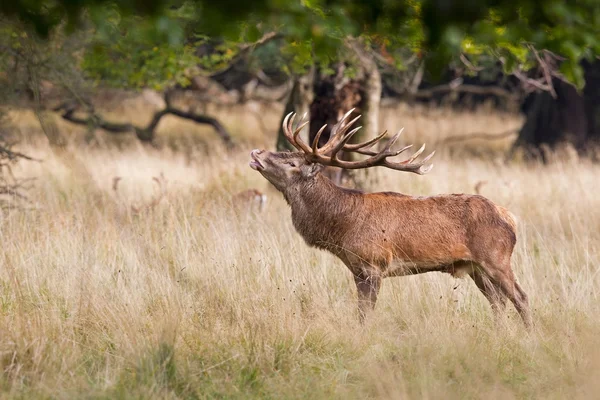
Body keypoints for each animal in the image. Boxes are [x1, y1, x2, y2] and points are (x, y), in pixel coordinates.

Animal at [248, 109, 528, 324]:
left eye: (293, 163)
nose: (256, 153)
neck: (340, 229)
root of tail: (511, 218)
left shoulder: (373, 263)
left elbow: (365, 314)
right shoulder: (357, 268)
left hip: (496, 258)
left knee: (520, 297)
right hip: (475, 268)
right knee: (498, 302)